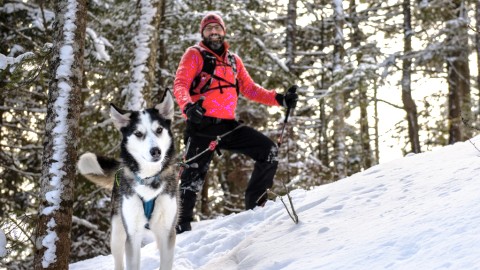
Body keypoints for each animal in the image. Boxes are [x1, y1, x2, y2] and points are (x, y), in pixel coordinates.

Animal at [77, 91, 178, 270]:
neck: (148, 179)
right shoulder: (132, 234)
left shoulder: (167, 232)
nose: (156, 151)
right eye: (138, 133)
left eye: (159, 130)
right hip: (117, 233)